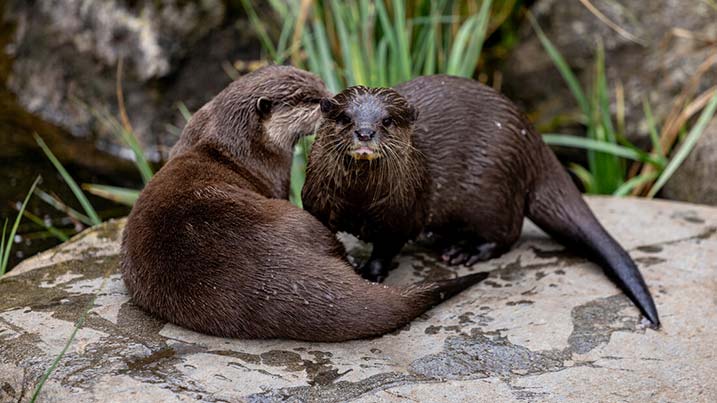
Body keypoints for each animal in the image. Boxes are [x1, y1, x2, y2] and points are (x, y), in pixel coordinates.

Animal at [120, 66, 488, 342]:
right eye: (314, 99)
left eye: (323, 88)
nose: (333, 101)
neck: (230, 144)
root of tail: (270, 280)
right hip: (301, 221)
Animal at [302, 76, 659, 327]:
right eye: (346, 118)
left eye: (387, 120)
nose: (364, 133)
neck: (359, 201)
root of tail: (530, 137)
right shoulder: (317, 201)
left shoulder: (403, 211)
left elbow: (387, 246)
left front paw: (371, 272)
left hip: (491, 190)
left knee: (508, 232)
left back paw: (464, 251)